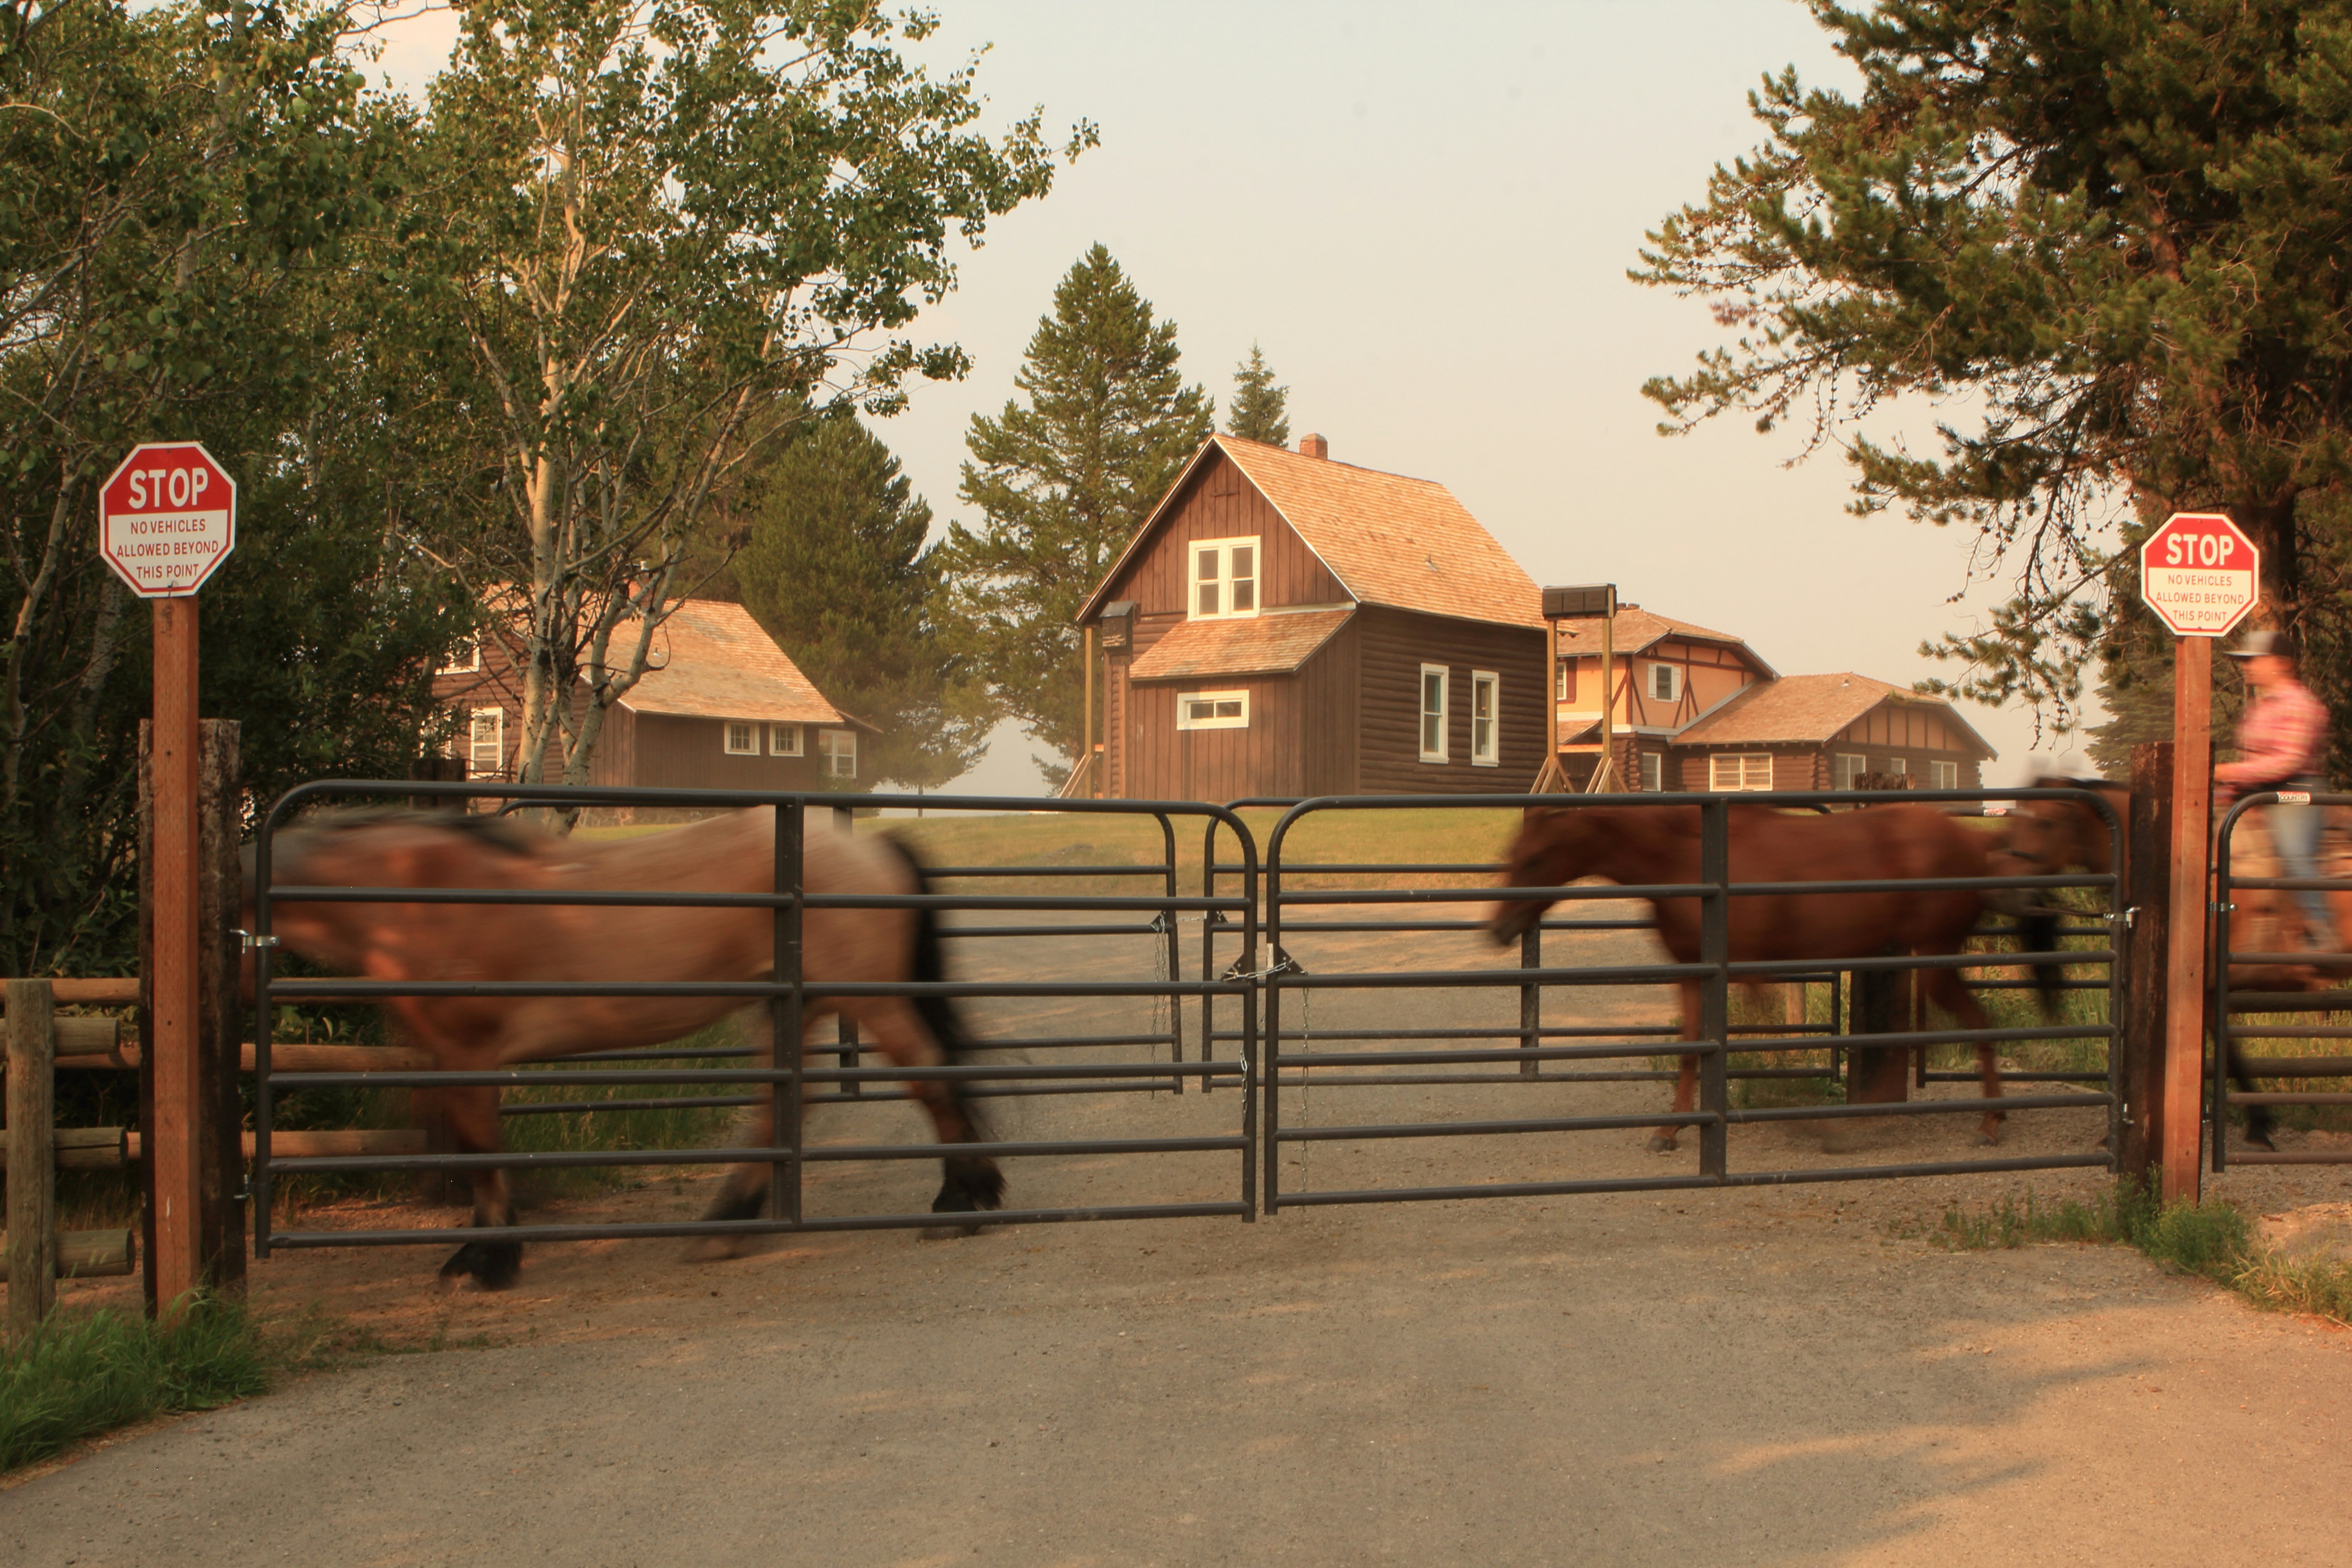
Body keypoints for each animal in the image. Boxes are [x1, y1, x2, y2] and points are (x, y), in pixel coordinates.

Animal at [246, 808, 1004, 1288]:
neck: (420, 890)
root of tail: (871, 849)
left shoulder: (468, 1054)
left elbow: (479, 1151)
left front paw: (489, 1260)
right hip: (796, 1005)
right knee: (786, 1103)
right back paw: (729, 1225)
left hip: (870, 999)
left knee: (928, 1076)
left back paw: (959, 1203)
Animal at [1488, 802, 2014, 1151]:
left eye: (1534, 859)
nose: (1499, 929)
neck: (1685, 859)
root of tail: (1976, 842)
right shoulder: (1693, 974)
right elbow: (1692, 1050)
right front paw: (1670, 1129)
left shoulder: (1745, 975)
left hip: (1936, 961)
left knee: (1982, 1025)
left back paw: (1991, 1123)